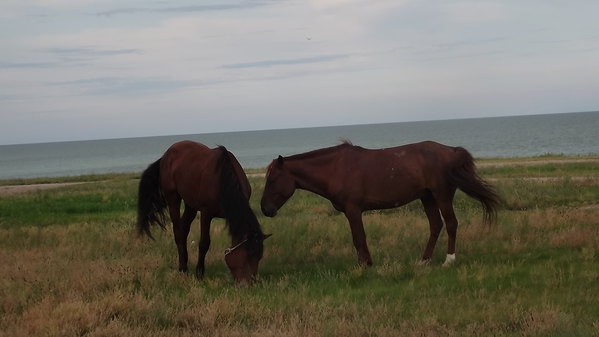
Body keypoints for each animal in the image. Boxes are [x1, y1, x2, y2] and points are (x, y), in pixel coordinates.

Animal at [137, 140, 270, 282]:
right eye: (247, 256)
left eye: (259, 257)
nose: (250, 282)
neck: (223, 181)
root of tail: (166, 155)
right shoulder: (206, 214)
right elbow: (204, 243)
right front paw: (199, 273)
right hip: (173, 199)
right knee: (178, 232)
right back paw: (183, 268)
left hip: (191, 205)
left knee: (183, 230)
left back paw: (184, 264)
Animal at [262, 139, 502, 266]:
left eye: (272, 180)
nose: (265, 209)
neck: (336, 168)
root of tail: (450, 151)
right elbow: (359, 238)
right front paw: (367, 263)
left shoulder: (353, 210)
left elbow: (359, 238)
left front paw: (365, 266)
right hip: (427, 197)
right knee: (436, 226)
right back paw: (423, 261)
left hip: (441, 196)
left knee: (451, 224)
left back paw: (448, 260)